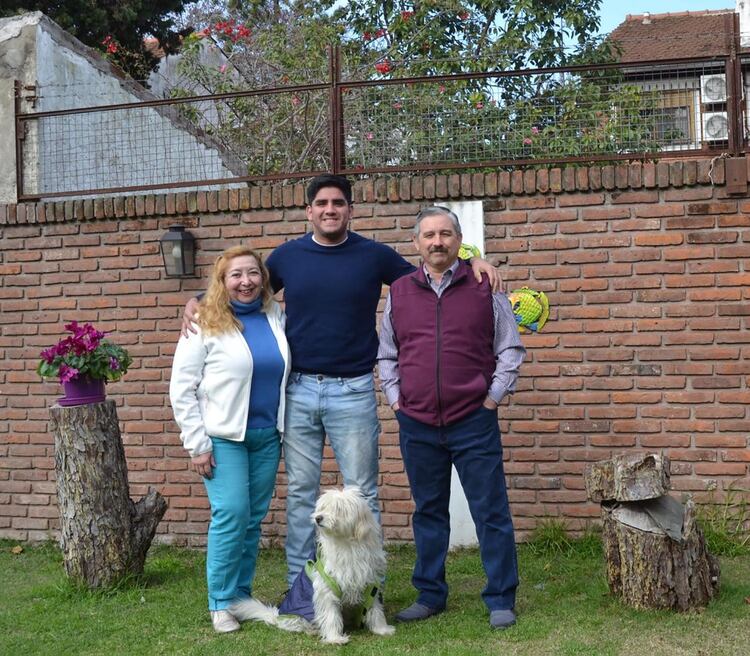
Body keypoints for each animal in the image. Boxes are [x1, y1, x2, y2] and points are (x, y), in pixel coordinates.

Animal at [232, 484, 396, 644]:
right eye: (322, 507)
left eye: (338, 509)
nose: (318, 518)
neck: (348, 546)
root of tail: (277, 615)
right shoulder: (327, 588)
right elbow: (330, 616)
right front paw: (335, 638)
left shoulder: (370, 584)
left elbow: (375, 609)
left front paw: (382, 629)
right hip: (297, 616)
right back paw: (313, 630)